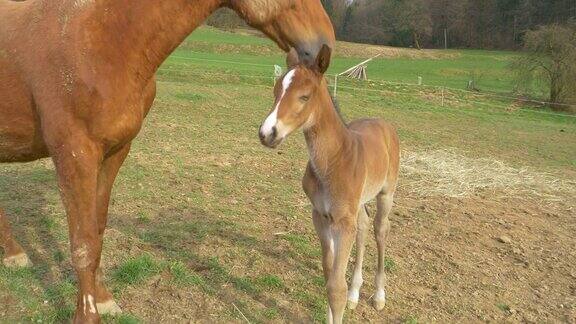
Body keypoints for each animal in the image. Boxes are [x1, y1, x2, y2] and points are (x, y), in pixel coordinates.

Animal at [0, 0, 336, 322]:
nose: (326, 43)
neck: (103, 40)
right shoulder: (74, 155)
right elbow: (83, 242)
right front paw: (87, 315)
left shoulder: (114, 152)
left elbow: (97, 230)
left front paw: (104, 298)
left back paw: (13, 254)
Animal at [260, 46, 400, 324]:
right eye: (276, 90)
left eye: (304, 96)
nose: (267, 133)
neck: (334, 160)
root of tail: (384, 124)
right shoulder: (321, 215)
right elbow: (329, 273)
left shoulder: (342, 222)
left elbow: (336, 287)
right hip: (358, 203)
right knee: (364, 226)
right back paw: (356, 294)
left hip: (386, 193)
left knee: (380, 229)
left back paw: (379, 296)